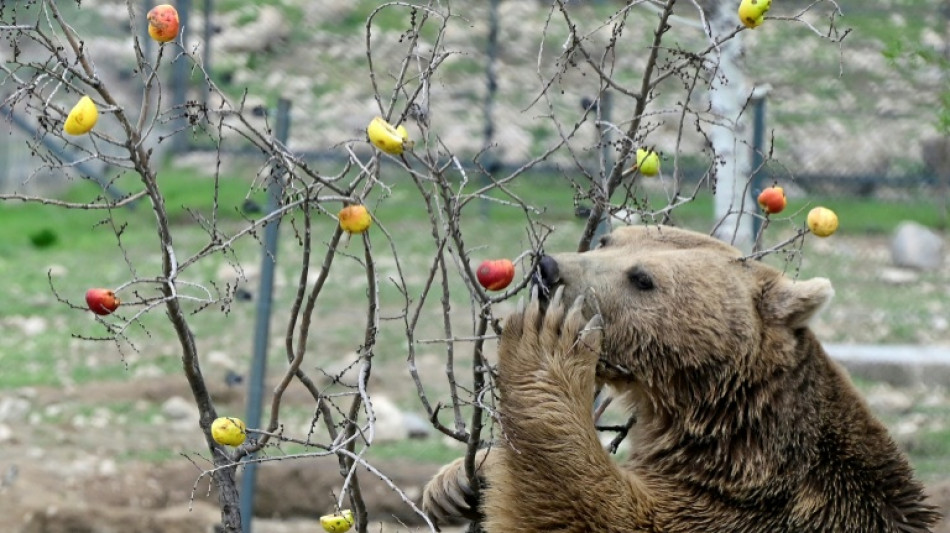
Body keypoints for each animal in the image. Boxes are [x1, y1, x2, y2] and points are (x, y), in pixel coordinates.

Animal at [422, 224, 939, 532]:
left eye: (642, 278)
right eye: (608, 240)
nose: (549, 268)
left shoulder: (750, 511)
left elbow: (594, 511)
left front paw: (546, 341)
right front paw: (458, 482)